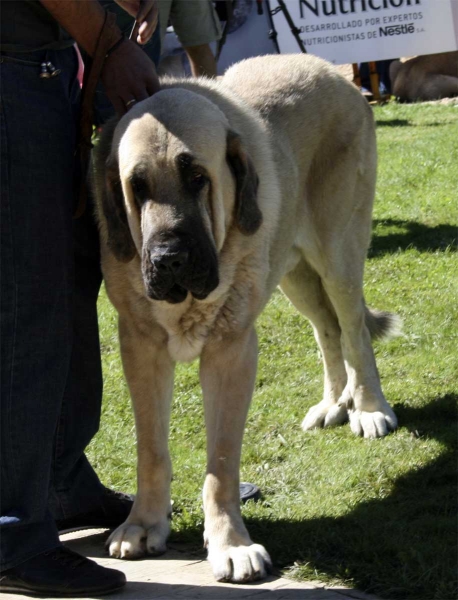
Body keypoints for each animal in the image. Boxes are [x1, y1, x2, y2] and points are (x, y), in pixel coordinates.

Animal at [92, 55, 398, 580]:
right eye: (138, 187)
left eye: (198, 177)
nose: (169, 259)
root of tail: (328, 68)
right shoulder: (140, 346)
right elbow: (150, 449)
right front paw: (143, 524)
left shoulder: (231, 351)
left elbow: (221, 462)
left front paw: (230, 545)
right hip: (294, 272)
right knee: (328, 330)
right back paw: (333, 404)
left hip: (337, 253)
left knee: (355, 330)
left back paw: (369, 408)